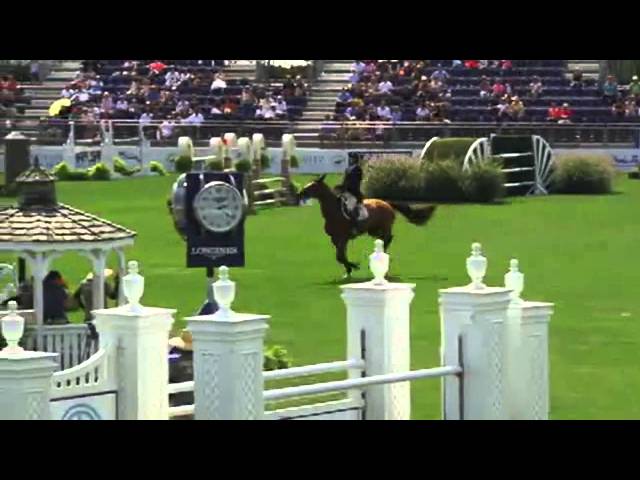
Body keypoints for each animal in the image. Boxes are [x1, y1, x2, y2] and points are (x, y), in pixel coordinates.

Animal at [298, 174, 437, 276]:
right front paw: (349, 269)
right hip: (373, 230)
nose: (300, 193)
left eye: (312, 186)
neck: (335, 211)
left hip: (384, 227)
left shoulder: (343, 238)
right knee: (383, 239)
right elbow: (340, 256)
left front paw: (354, 266)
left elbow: (340, 256)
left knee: (388, 239)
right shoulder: (335, 238)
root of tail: (387, 203)